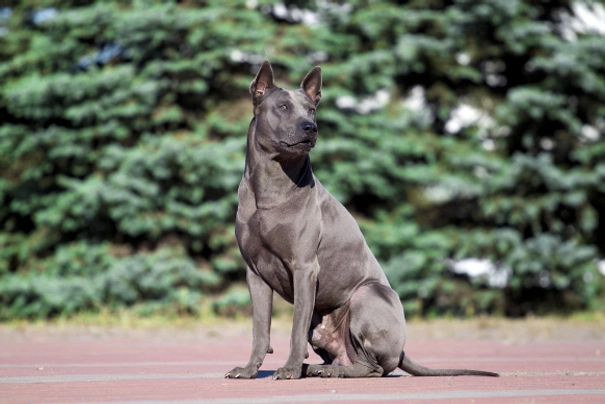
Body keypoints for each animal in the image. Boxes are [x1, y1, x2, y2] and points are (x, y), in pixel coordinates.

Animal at [224, 61, 498, 380]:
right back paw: (317, 368)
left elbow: (295, 327)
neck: (271, 184)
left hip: (366, 295)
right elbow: (260, 329)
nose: (310, 127)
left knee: (374, 367)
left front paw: (289, 369)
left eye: (312, 110)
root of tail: (401, 350)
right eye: (282, 107)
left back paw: (325, 371)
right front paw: (248, 370)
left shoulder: (304, 267)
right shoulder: (255, 273)